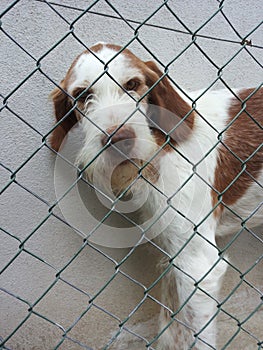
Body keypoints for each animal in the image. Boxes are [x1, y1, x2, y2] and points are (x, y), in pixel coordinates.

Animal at [50, 42, 263, 348]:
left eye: (132, 84)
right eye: (82, 95)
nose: (119, 140)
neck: (161, 145)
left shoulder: (200, 265)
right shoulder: (174, 257)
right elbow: (171, 329)